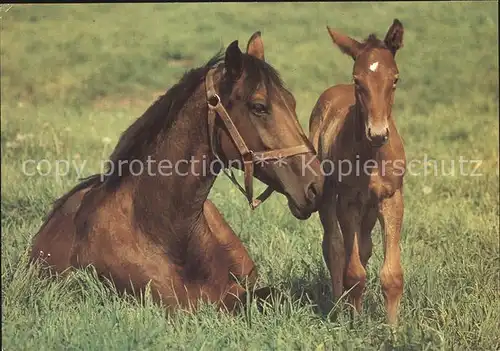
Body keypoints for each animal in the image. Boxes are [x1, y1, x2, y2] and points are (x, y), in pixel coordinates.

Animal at [308, 20, 406, 326]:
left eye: (395, 79)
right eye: (358, 81)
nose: (378, 133)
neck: (372, 157)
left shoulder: (391, 198)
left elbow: (392, 275)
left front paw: (393, 329)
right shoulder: (348, 202)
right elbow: (353, 271)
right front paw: (354, 322)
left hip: (371, 207)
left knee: (364, 247)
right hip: (328, 196)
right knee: (334, 247)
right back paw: (338, 306)